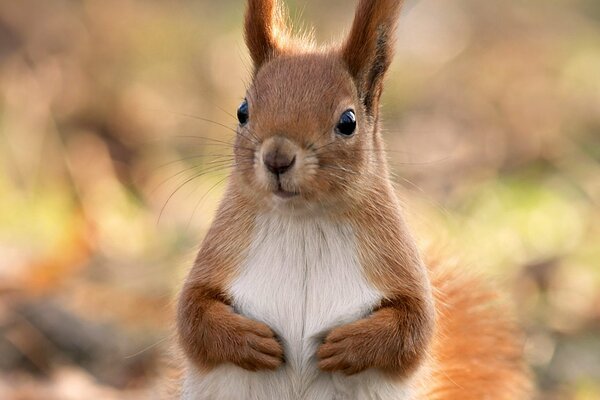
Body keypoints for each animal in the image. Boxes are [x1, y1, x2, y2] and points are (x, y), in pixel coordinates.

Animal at [173, 0, 528, 400]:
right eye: (242, 111)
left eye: (348, 121)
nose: (277, 158)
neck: (303, 222)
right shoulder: (221, 252)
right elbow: (191, 316)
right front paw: (251, 341)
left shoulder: (396, 260)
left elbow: (416, 325)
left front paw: (347, 347)